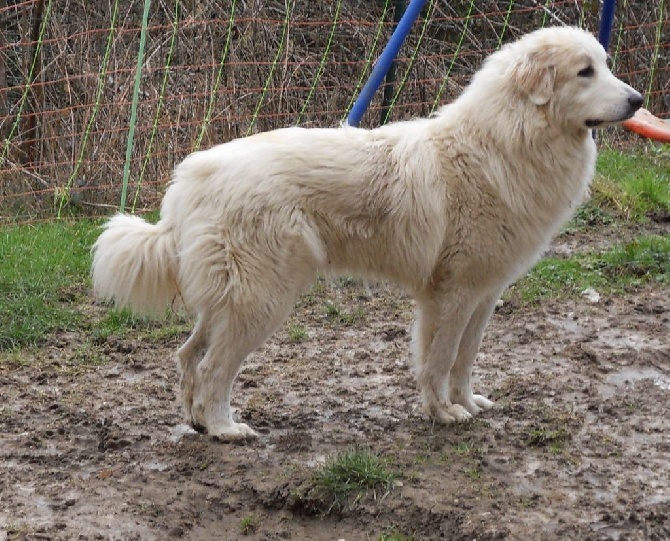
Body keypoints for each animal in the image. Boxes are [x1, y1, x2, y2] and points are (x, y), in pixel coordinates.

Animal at [92, 26, 644, 438]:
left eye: (605, 64)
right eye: (585, 72)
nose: (639, 100)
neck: (505, 139)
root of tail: (192, 177)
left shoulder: (483, 294)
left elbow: (464, 360)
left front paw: (468, 404)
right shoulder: (451, 295)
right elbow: (439, 359)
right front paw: (443, 414)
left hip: (231, 299)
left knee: (188, 355)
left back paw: (197, 421)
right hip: (263, 300)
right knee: (212, 369)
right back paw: (225, 429)